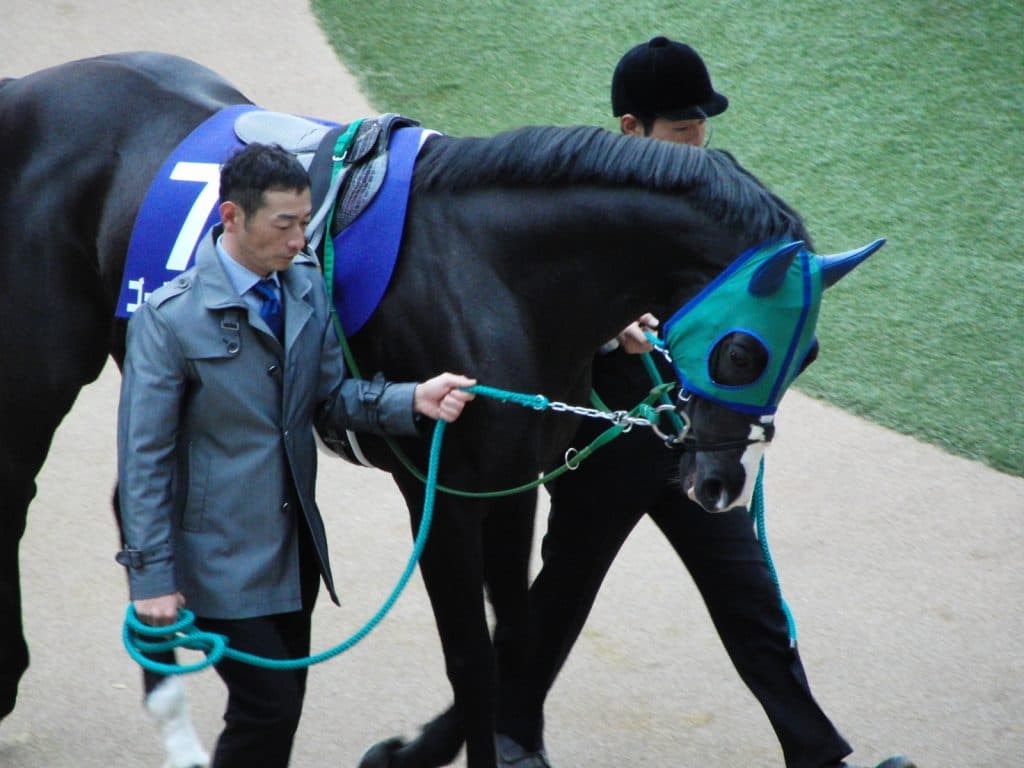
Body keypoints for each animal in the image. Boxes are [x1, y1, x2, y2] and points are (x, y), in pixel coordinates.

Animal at [0, 51, 879, 768]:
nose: (723, 484)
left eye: (810, 359)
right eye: (743, 352)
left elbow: (518, 634)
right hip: (46, 366)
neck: (492, 272)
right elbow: (475, 659)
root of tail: (25, 92)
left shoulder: (514, 484)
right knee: (23, 495)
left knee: (139, 497)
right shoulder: (443, 494)